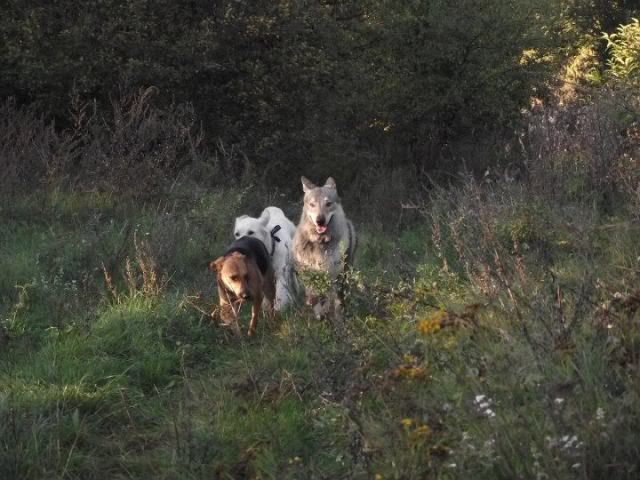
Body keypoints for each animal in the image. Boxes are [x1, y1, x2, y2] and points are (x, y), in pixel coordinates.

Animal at [292, 176, 357, 319]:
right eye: (312, 204)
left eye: (328, 204)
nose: (320, 220)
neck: (320, 241)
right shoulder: (310, 274)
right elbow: (314, 298)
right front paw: (318, 315)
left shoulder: (333, 276)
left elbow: (331, 301)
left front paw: (335, 317)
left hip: (346, 272)